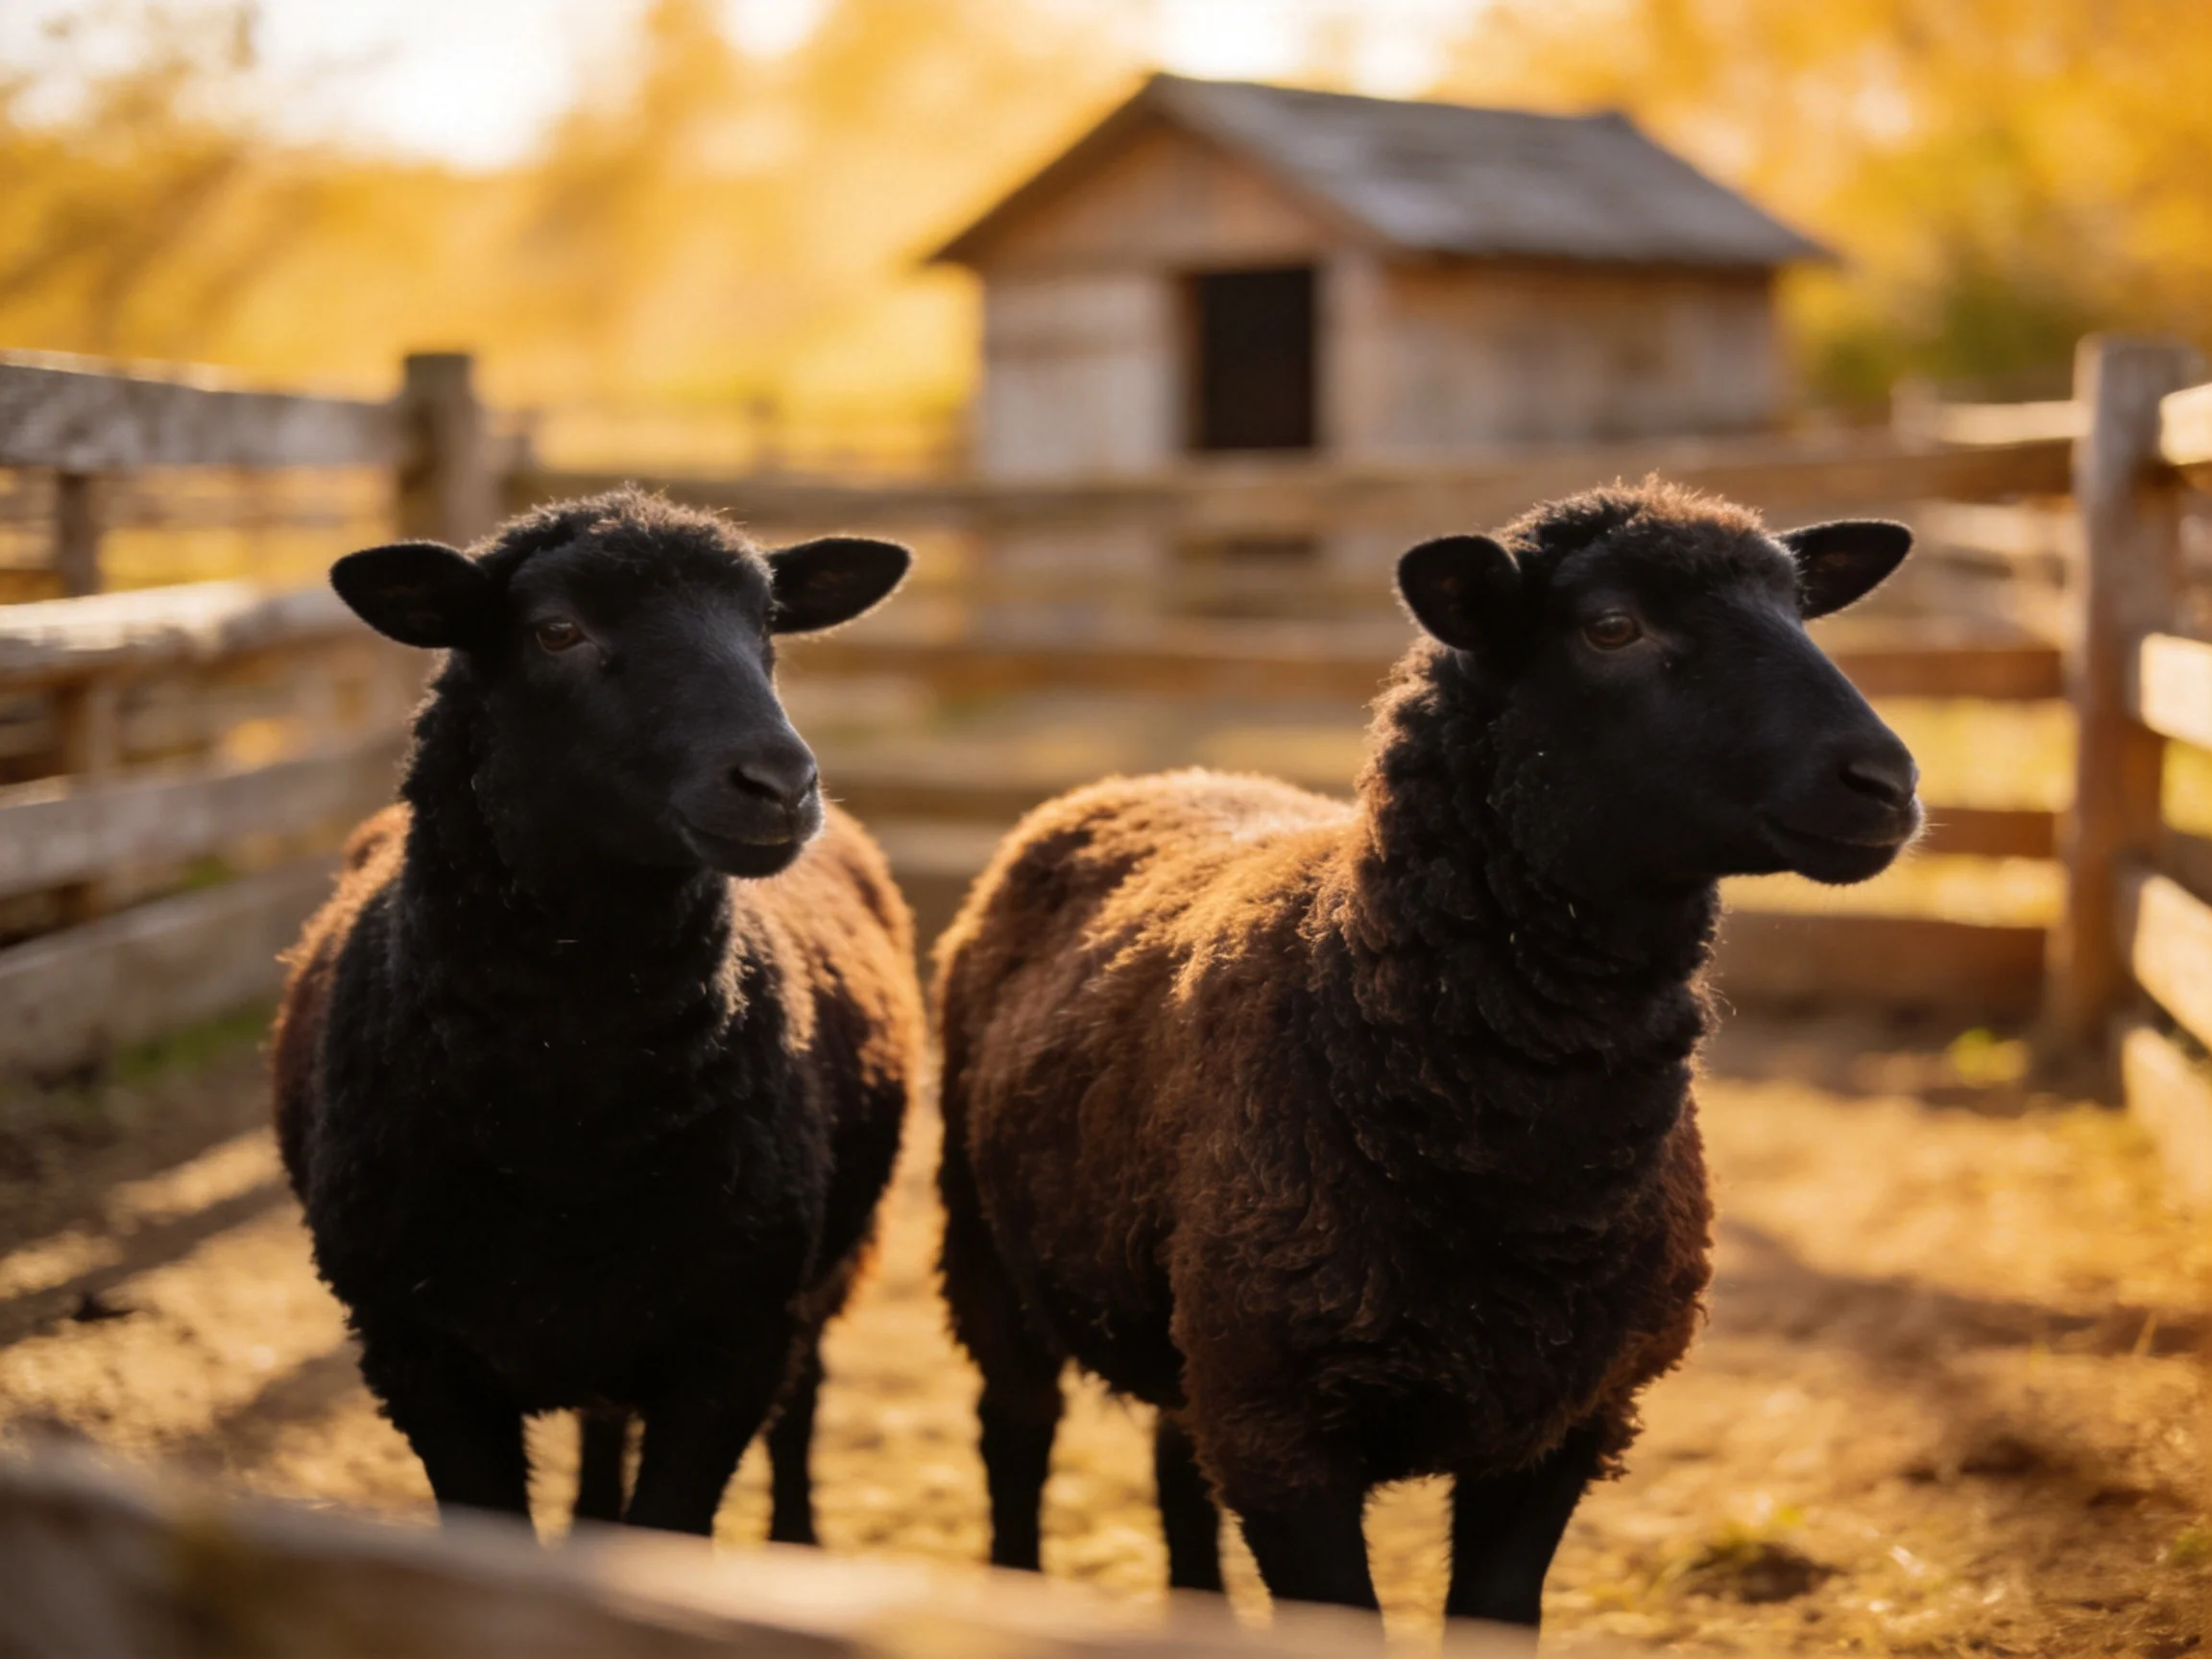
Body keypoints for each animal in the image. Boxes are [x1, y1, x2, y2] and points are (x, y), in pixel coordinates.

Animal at [270, 489, 923, 1539]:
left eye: (767, 627)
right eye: (557, 631)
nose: (782, 785)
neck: (571, 1122)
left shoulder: (733, 1346)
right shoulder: (417, 1354)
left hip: (824, 1267)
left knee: (805, 1396)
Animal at [932, 483, 1922, 1628]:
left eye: (1801, 610)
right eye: (1612, 628)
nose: (1887, 783)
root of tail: (1158, 775)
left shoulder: (1569, 1419)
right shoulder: (1284, 1433)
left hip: (1190, 1323)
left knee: (1177, 1461)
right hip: (989, 1251)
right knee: (1014, 1433)